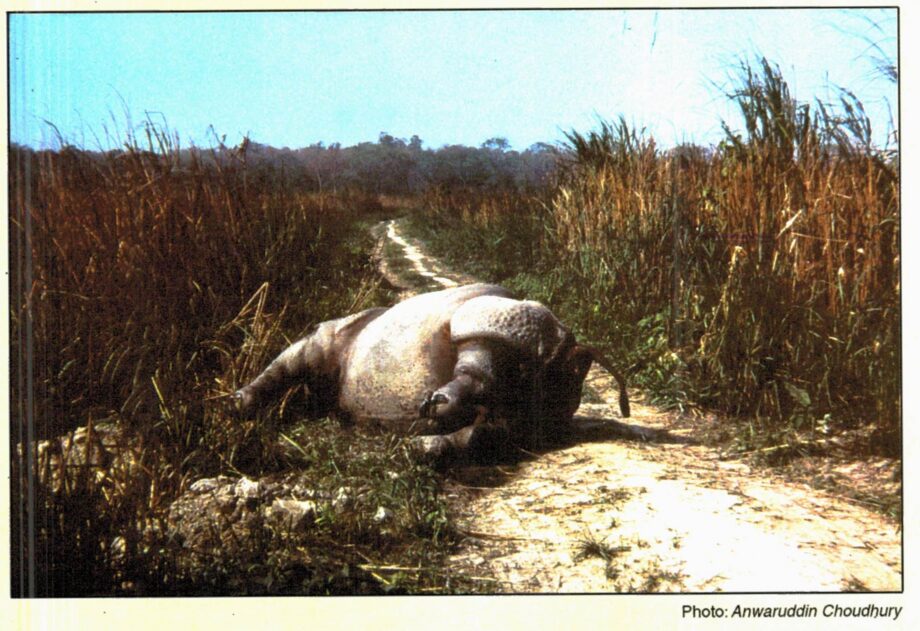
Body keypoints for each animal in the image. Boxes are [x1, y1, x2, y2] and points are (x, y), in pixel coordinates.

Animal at [234, 283, 629, 464]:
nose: (428, 404)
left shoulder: (515, 423)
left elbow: (479, 436)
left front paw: (418, 446)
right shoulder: (485, 327)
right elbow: (474, 370)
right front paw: (433, 411)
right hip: (327, 337)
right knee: (292, 358)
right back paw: (236, 404)